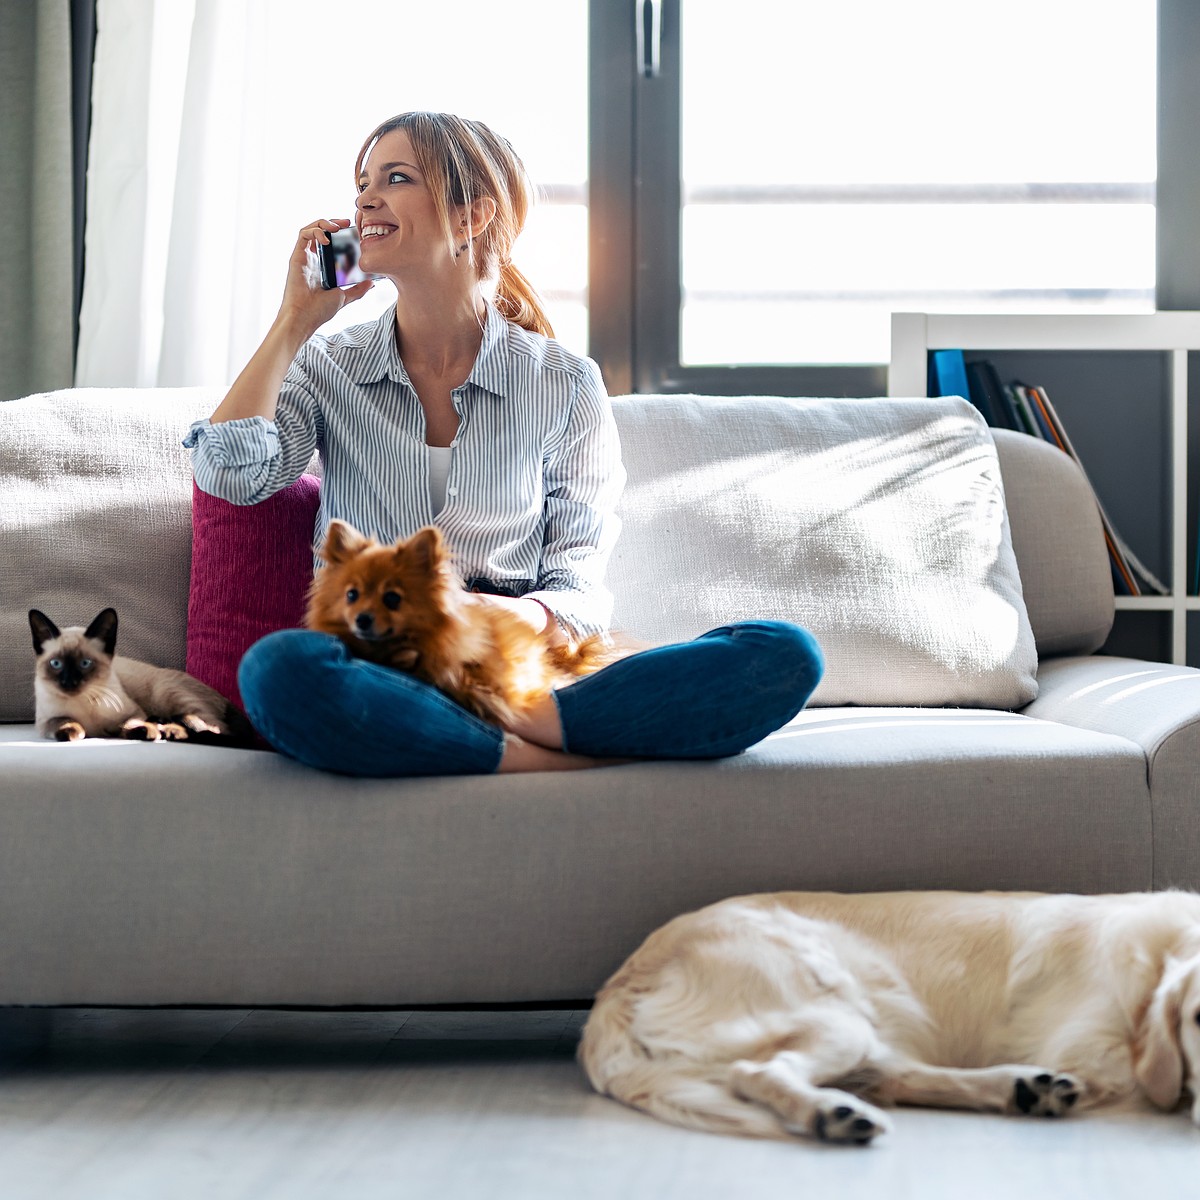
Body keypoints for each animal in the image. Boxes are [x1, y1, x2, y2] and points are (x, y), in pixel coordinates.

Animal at [28, 604, 253, 744]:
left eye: (85, 663)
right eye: (56, 664)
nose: (69, 682)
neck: (84, 702)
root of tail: (224, 697)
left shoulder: (134, 712)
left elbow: (130, 723)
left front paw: (147, 731)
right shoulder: (46, 721)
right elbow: (67, 722)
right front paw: (72, 732)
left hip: (166, 693)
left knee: (216, 729)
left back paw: (166, 730)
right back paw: (167, 729)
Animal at [578, 892, 1200, 1142]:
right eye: (1197, 1016)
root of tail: (617, 984)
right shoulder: (1089, 1048)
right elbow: (1149, 1084)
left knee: (894, 1075)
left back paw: (1023, 1087)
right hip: (835, 1015)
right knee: (757, 1073)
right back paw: (831, 1116)